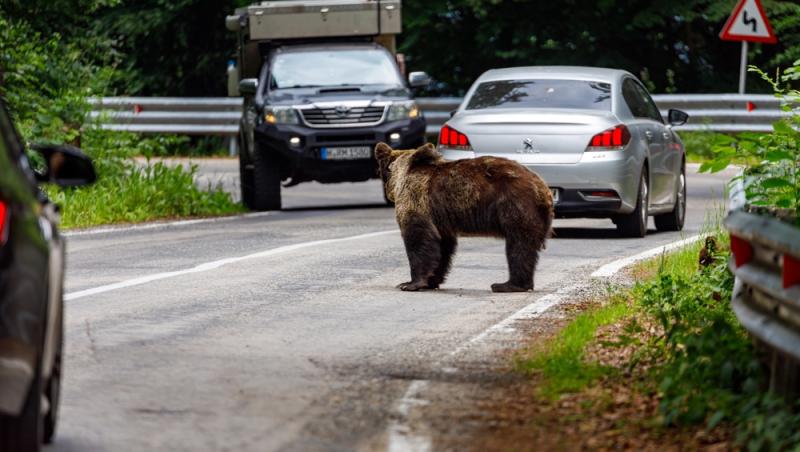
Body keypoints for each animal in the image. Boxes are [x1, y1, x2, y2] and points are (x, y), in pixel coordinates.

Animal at [376, 142, 556, 294]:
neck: (401, 174)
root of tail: (544, 189)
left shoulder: (416, 198)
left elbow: (418, 237)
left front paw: (410, 283)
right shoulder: (439, 219)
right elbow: (443, 246)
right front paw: (432, 280)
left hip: (514, 205)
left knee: (518, 245)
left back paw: (506, 285)